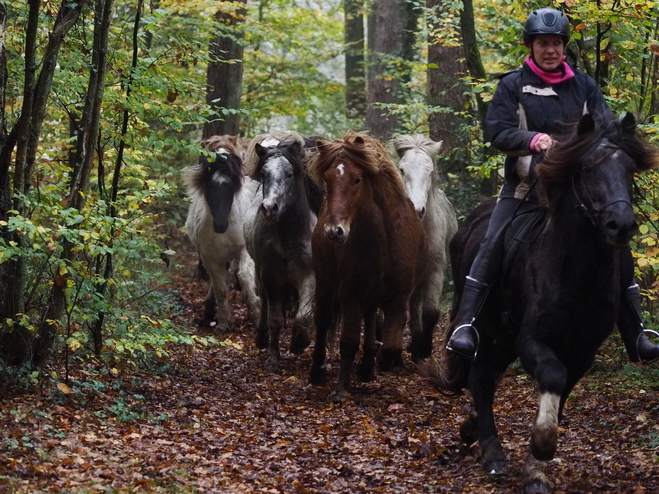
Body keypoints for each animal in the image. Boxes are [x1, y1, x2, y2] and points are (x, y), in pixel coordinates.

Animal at [184, 135, 262, 328]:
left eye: (231, 185)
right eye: (209, 185)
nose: (220, 225)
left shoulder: (244, 250)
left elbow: (244, 276)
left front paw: (256, 314)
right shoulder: (209, 256)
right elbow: (220, 287)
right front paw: (224, 321)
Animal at [308, 132, 428, 402]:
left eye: (357, 179)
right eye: (328, 180)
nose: (334, 231)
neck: (383, 238)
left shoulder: (398, 296)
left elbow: (392, 344)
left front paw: (379, 362)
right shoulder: (350, 293)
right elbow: (348, 341)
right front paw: (341, 388)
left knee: (371, 317)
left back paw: (367, 366)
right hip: (326, 282)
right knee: (322, 321)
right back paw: (317, 371)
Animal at [392, 133, 458, 360]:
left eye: (429, 171)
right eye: (402, 170)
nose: (417, 209)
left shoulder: (435, 271)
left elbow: (430, 312)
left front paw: (423, 349)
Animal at [426, 112, 656, 494]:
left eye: (628, 168)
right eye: (588, 168)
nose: (620, 225)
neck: (577, 271)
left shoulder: (582, 351)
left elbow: (560, 395)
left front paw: (536, 469)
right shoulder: (532, 340)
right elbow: (552, 375)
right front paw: (542, 447)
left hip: (503, 338)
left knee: (487, 376)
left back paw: (472, 428)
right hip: (487, 330)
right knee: (481, 378)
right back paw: (492, 454)